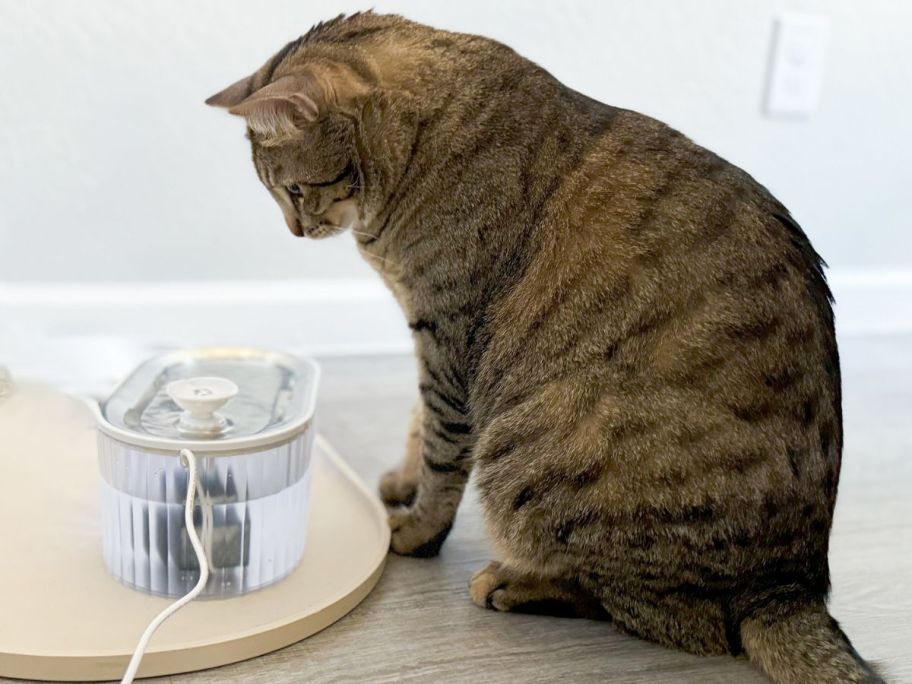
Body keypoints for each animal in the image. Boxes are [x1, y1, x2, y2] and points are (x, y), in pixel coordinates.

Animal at [208, 12, 884, 684]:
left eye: (294, 190)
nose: (297, 230)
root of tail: (788, 588)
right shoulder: (433, 337)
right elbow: (418, 422)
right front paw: (401, 480)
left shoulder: (449, 334)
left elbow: (442, 449)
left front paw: (416, 528)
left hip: (534, 442)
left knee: (681, 621)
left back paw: (514, 583)